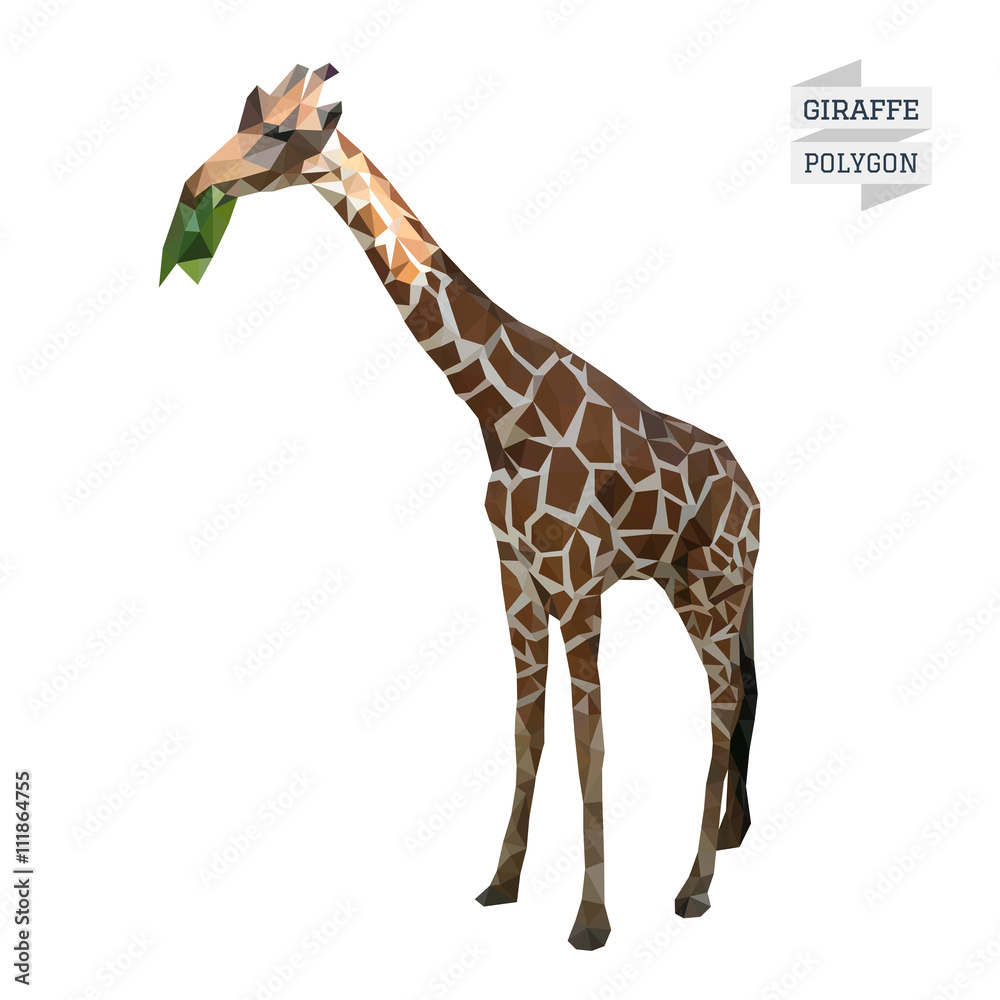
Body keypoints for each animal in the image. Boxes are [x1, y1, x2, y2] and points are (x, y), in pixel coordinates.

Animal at [161, 64, 761, 951]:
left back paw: (695, 889)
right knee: (736, 696)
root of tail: (758, 493)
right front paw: (502, 884)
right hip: (694, 588)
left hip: (715, 586)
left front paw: (590, 923)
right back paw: (724, 842)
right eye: (242, 116)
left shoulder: (577, 583)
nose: (196, 186)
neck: (499, 412)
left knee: (722, 704)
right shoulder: (517, 578)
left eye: (278, 132)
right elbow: (527, 730)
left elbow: (591, 739)